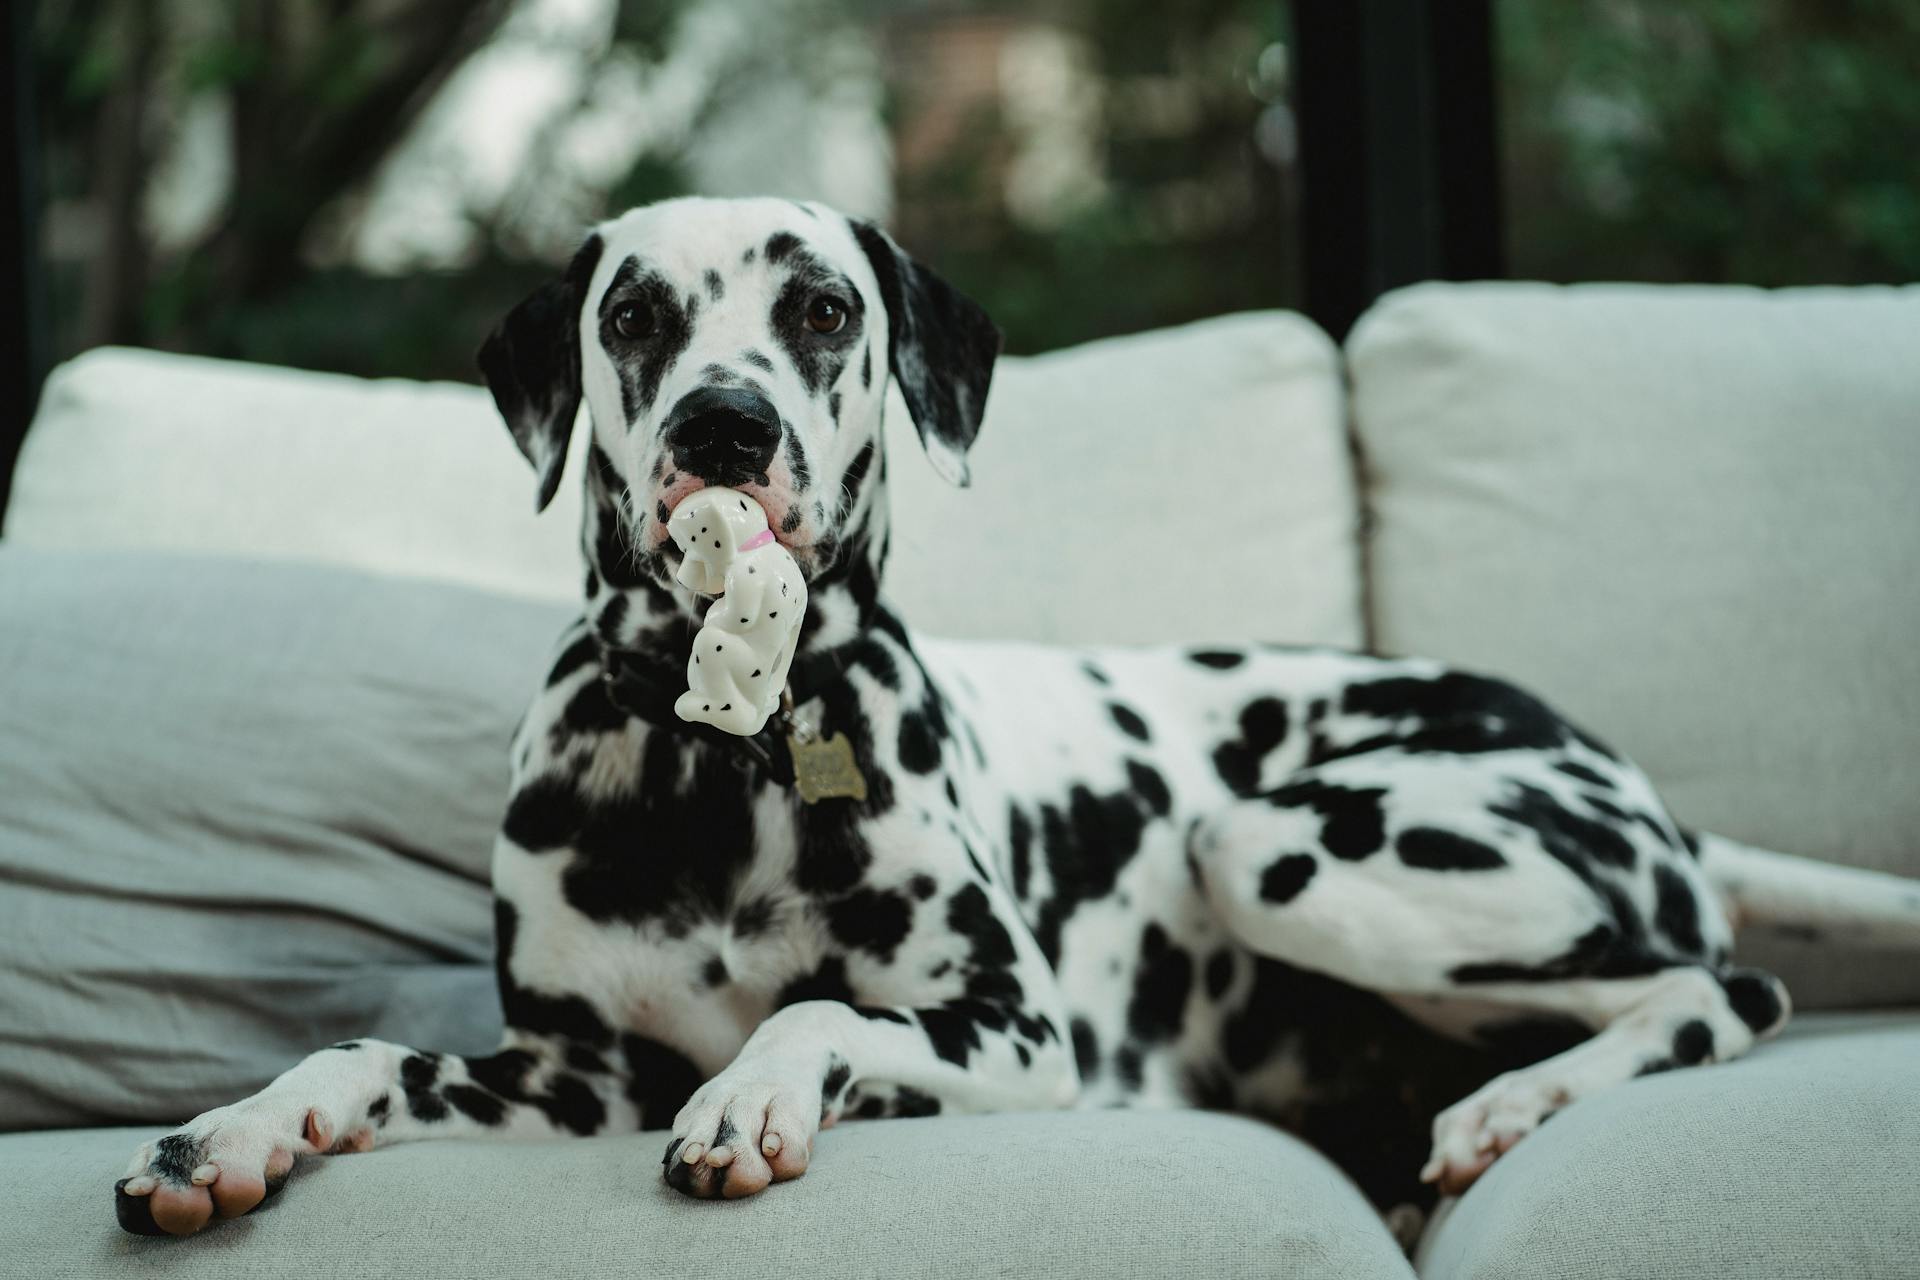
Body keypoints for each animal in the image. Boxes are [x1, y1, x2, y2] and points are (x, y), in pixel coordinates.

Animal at [116, 200, 1920, 1243]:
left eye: (824, 310)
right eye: (632, 317)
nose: (724, 424)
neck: (720, 753)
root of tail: (1645, 792)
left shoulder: (1014, 1039)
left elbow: (817, 1016)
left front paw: (756, 1097)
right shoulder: (569, 1079)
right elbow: (362, 1055)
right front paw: (234, 1135)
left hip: (1278, 846)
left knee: (1722, 985)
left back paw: (1505, 1111)